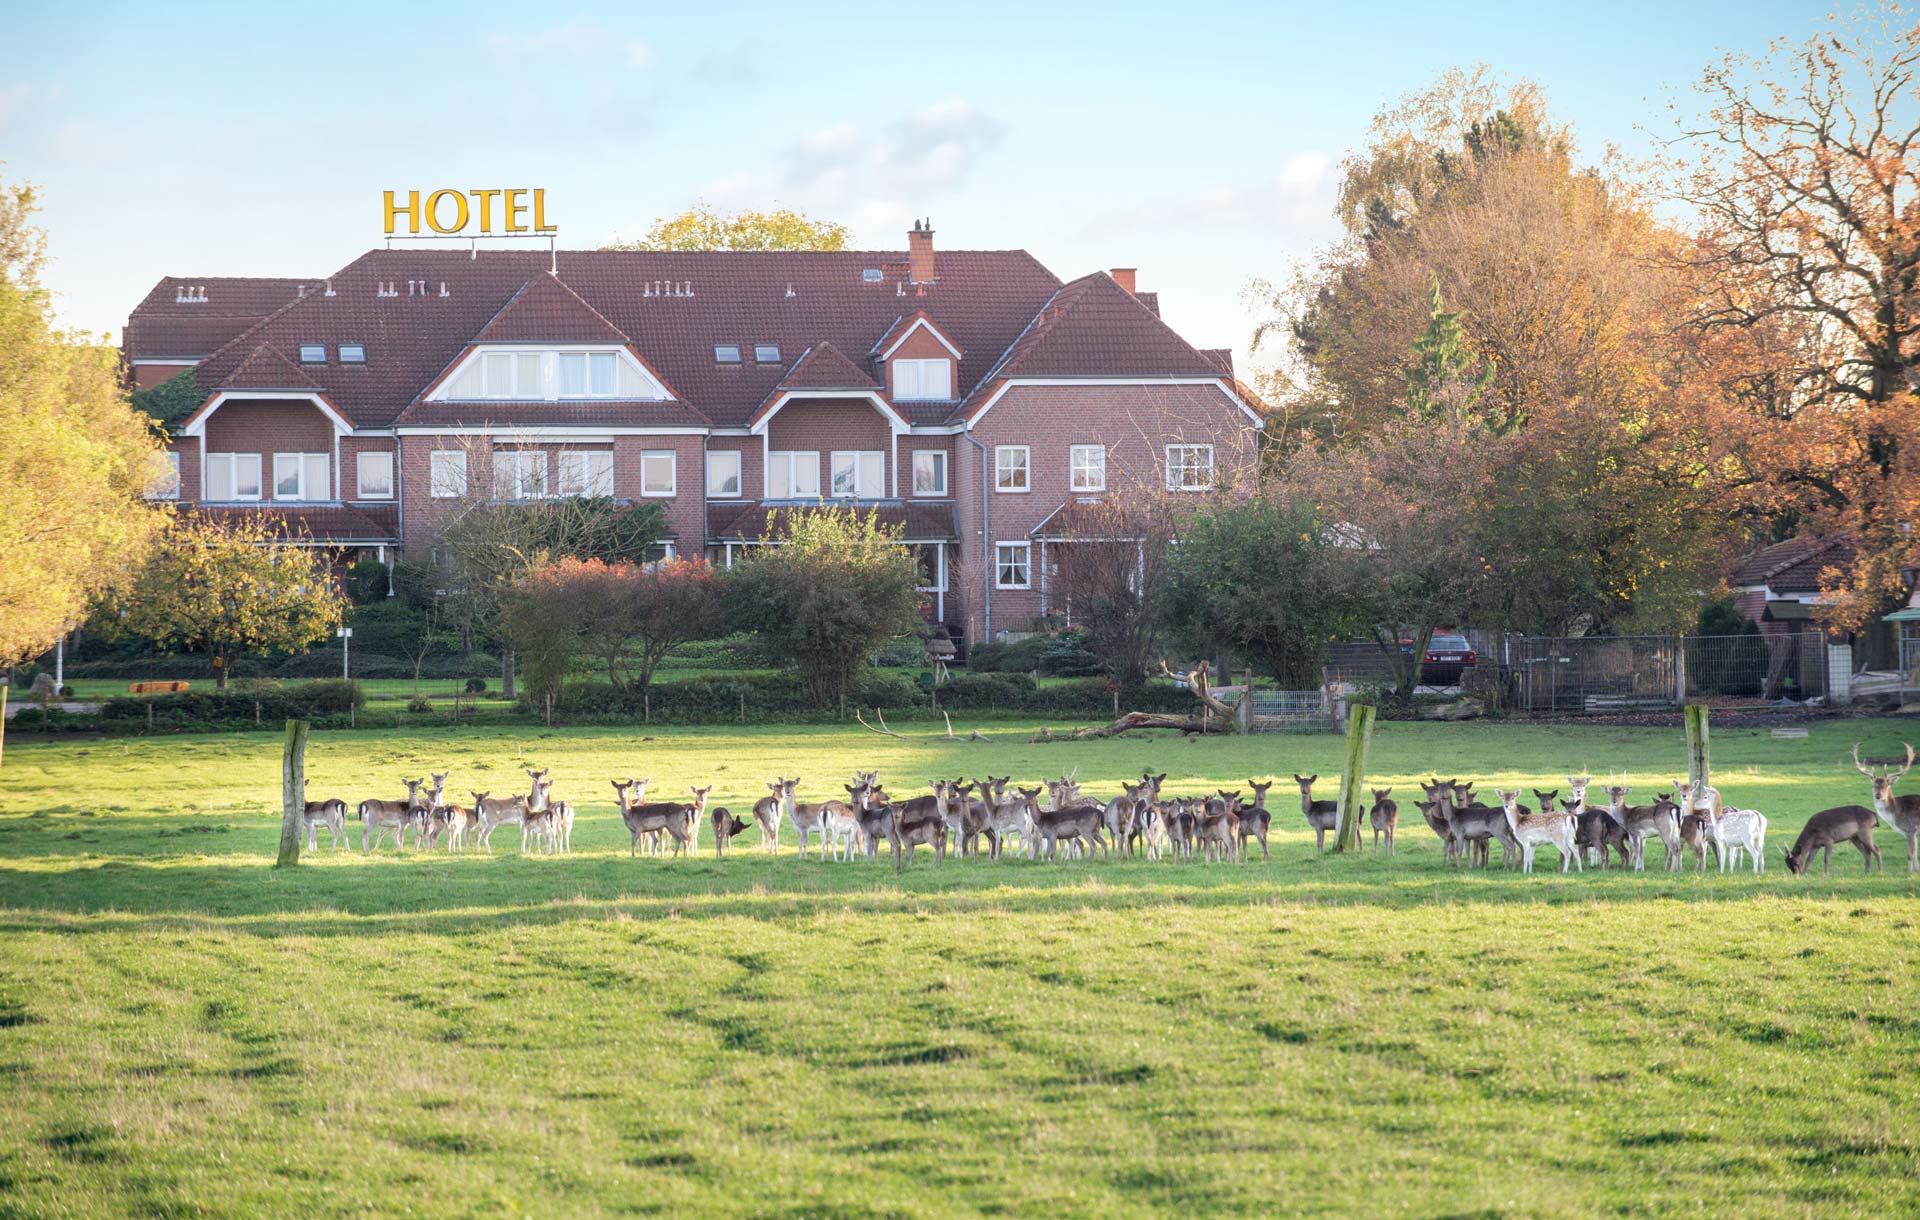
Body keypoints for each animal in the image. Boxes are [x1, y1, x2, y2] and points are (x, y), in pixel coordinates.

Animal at [1843, 741, 1920, 872]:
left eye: (1886, 785)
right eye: (1873, 785)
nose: (1878, 795)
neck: (1896, 816)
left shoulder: (1911, 828)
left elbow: (1910, 854)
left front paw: (1910, 873)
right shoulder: (1911, 832)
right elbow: (1914, 854)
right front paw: (1916, 871)